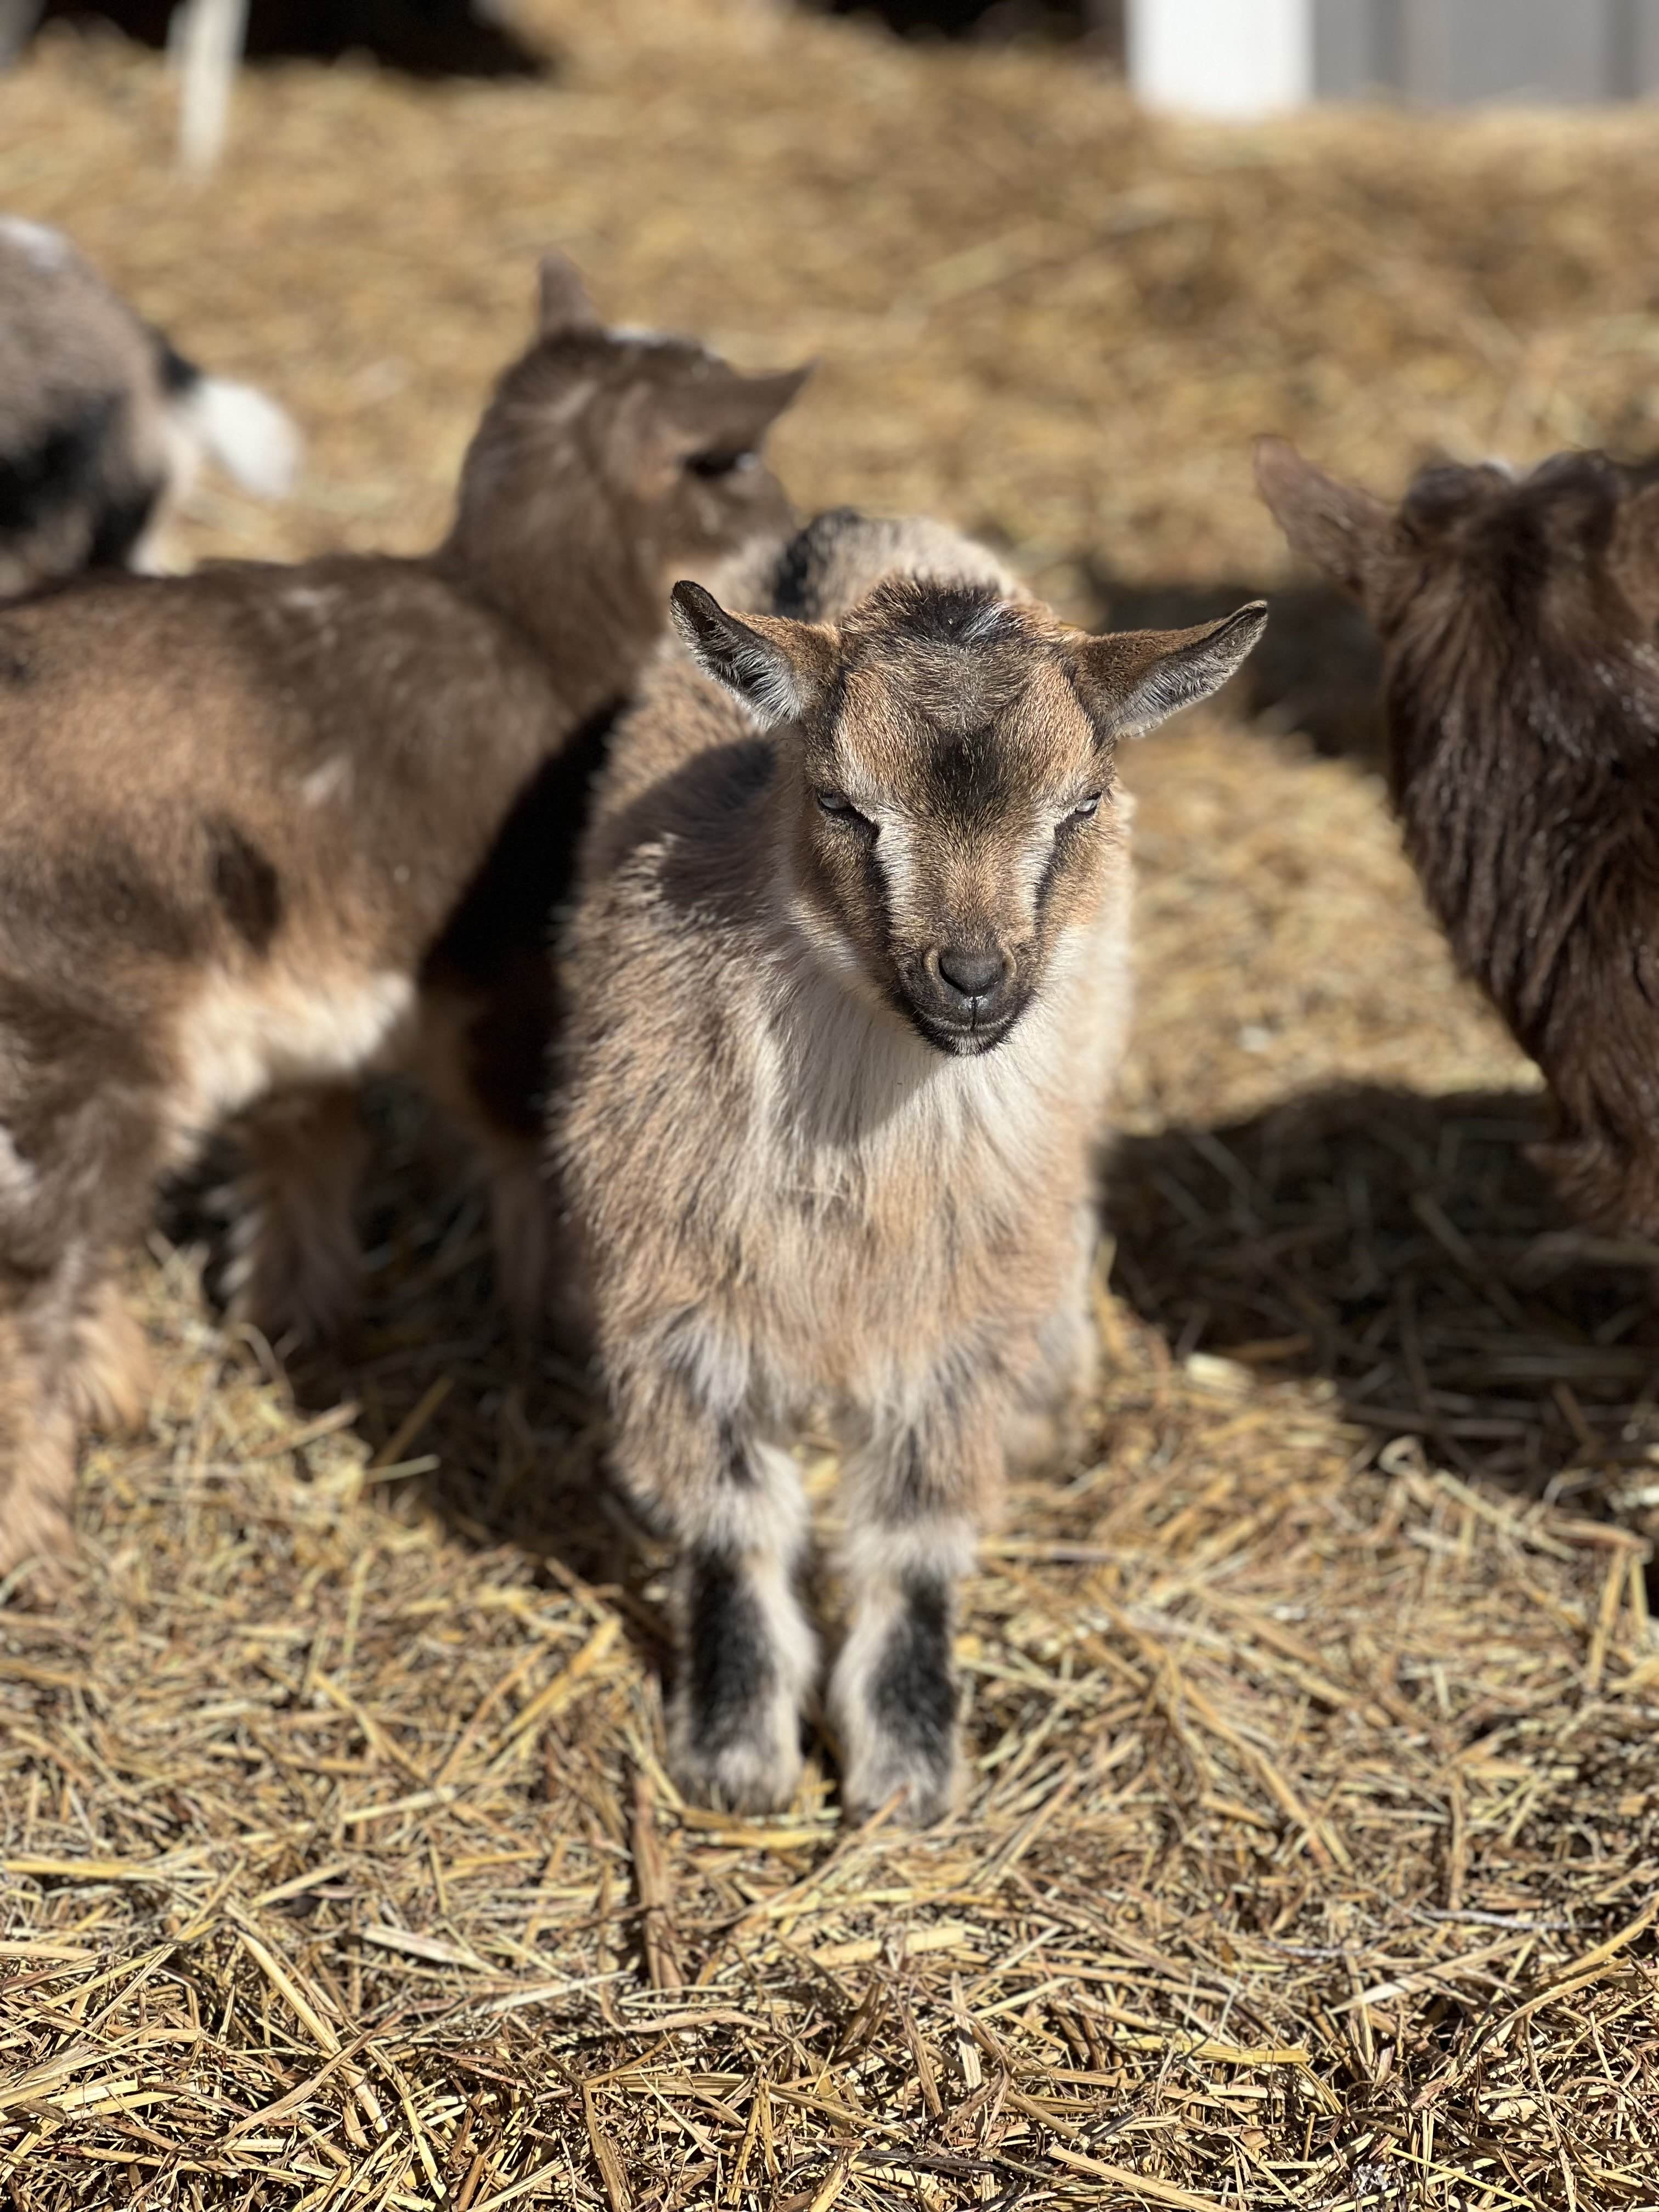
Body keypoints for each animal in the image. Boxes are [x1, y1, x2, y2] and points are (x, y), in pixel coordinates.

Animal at [557, 508, 1266, 1823]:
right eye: (842, 802)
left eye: (1083, 803)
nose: (973, 979)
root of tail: (840, 526)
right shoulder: (678, 1289)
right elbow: (733, 1517)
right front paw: (735, 1754)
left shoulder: (956, 1317)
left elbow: (915, 1531)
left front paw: (906, 1765)